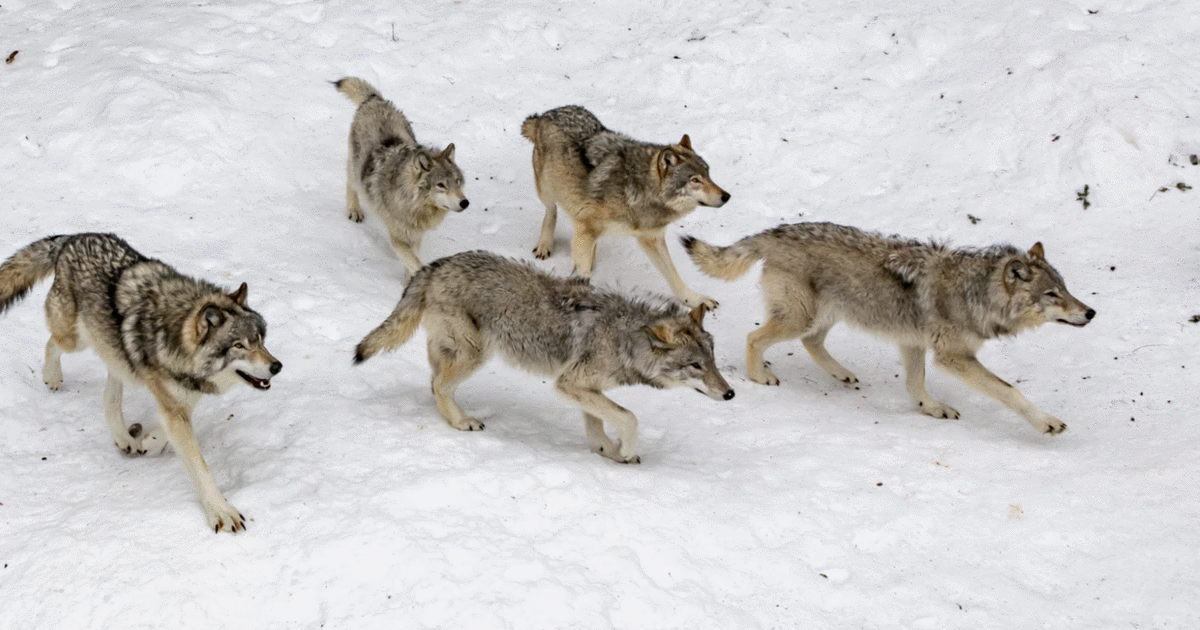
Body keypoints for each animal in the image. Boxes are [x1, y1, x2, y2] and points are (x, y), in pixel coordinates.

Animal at [0, 232, 282, 532]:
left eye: (260, 340)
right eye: (239, 346)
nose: (277, 366)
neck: (174, 338)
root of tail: (71, 238)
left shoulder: (182, 399)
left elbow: (165, 431)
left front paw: (149, 442)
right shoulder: (175, 406)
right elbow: (200, 468)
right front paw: (221, 512)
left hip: (116, 355)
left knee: (110, 397)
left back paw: (124, 438)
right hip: (75, 340)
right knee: (52, 343)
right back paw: (52, 377)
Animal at [338, 75, 472, 274]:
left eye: (457, 181)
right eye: (441, 185)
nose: (465, 202)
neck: (413, 205)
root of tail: (375, 100)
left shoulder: (415, 236)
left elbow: (412, 262)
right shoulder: (398, 239)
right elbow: (416, 263)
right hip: (356, 170)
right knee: (350, 181)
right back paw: (354, 211)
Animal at [350, 249, 734, 460]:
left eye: (713, 362)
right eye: (696, 366)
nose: (730, 393)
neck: (624, 338)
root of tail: (434, 265)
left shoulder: (584, 389)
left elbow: (598, 425)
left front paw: (608, 452)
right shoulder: (569, 384)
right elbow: (629, 417)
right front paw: (626, 450)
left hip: (458, 351)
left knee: (433, 382)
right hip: (476, 354)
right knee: (440, 386)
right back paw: (461, 422)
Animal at [520, 105, 724, 309]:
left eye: (708, 174)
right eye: (695, 180)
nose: (726, 196)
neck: (635, 190)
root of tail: (548, 113)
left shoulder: (651, 238)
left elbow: (675, 278)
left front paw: (696, 300)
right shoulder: (586, 228)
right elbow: (582, 271)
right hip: (547, 189)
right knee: (551, 211)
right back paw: (544, 245)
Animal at [681, 223, 1094, 434]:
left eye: (1066, 288)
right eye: (1052, 294)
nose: (1090, 313)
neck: (975, 293)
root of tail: (777, 231)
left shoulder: (913, 342)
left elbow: (915, 385)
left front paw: (932, 408)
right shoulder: (953, 357)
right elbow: (1010, 391)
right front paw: (1047, 422)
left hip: (826, 315)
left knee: (811, 342)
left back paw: (842, 374)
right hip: (801, 316)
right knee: (755, 338)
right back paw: (759, 376)